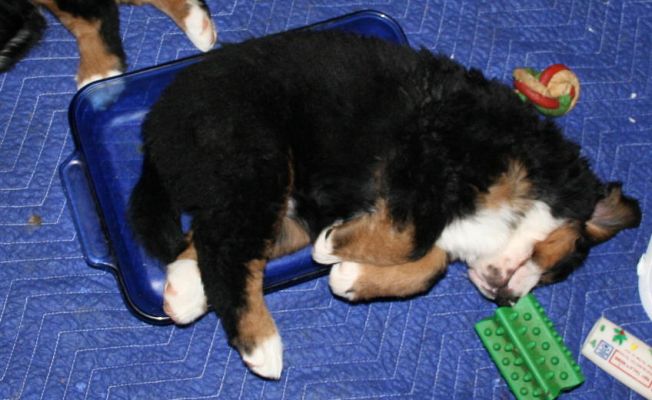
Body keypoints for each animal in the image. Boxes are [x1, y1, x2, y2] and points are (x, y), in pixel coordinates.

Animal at [129, 29, 640, 380]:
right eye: (553, 266)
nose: (506, 300)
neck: (538, 181)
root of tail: (158, 121)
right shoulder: (431, 151)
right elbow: (412, 240)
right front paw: (336, 247)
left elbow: (428, 261)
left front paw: (353, 276)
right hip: (253, 155)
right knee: (229, 248)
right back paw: (259, 342)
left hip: (267, 195)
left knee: (215, 236)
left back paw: (184, 290)